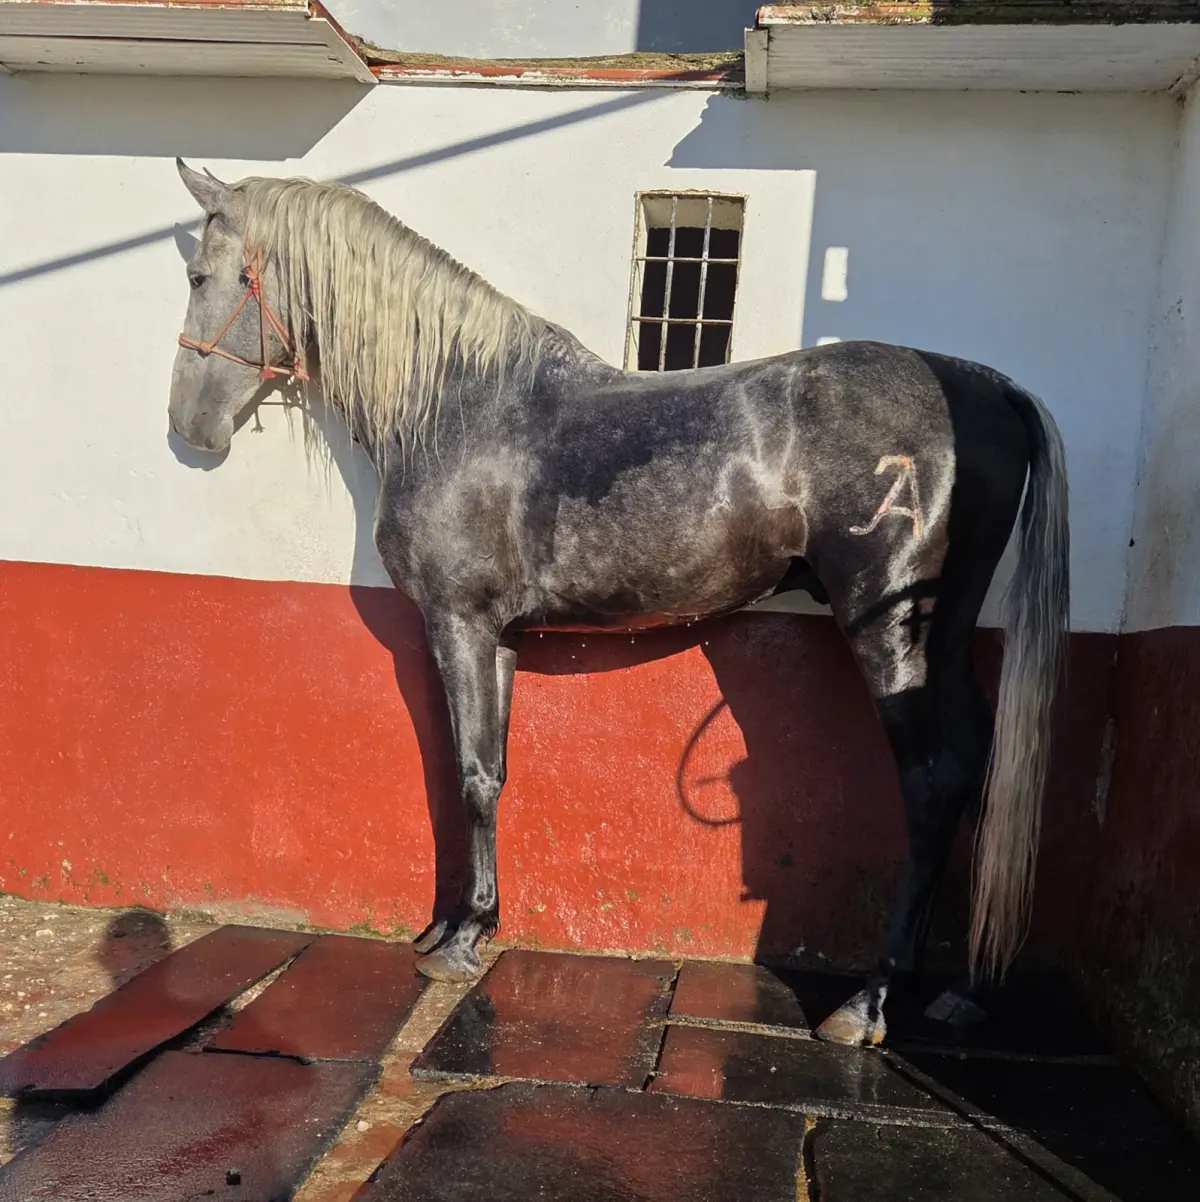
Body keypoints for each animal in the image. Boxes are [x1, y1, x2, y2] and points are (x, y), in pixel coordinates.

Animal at [167, 159, 1068, 1047]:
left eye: (199, 275)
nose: (187, 425)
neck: (455, 406)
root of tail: (987, 387)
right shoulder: (498, 636)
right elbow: (492, 771)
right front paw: (465, 924)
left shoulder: (459, 624)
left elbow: (467, 776)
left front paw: (456, 944)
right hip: (946, 634)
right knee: (976, 769)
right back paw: (962, 989)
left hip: (893, 626)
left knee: (929, 783)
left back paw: (870, 1001)